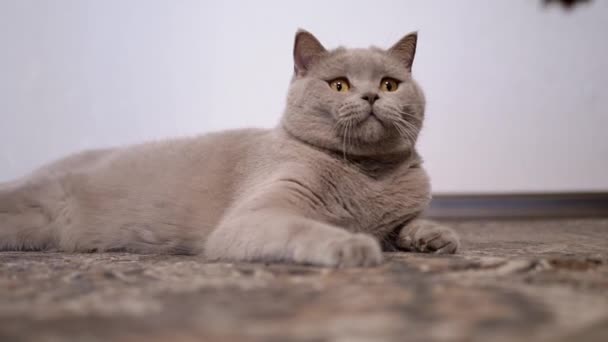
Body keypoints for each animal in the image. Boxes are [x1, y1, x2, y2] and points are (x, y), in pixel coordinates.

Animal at [0, 30, 456, 268]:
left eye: (390, 85)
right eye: (339, 85)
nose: (371, 96)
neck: (368, 174)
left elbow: (408, 223)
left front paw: (435, 236)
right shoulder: (254, 217)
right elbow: (305, 227)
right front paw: (353, 245)